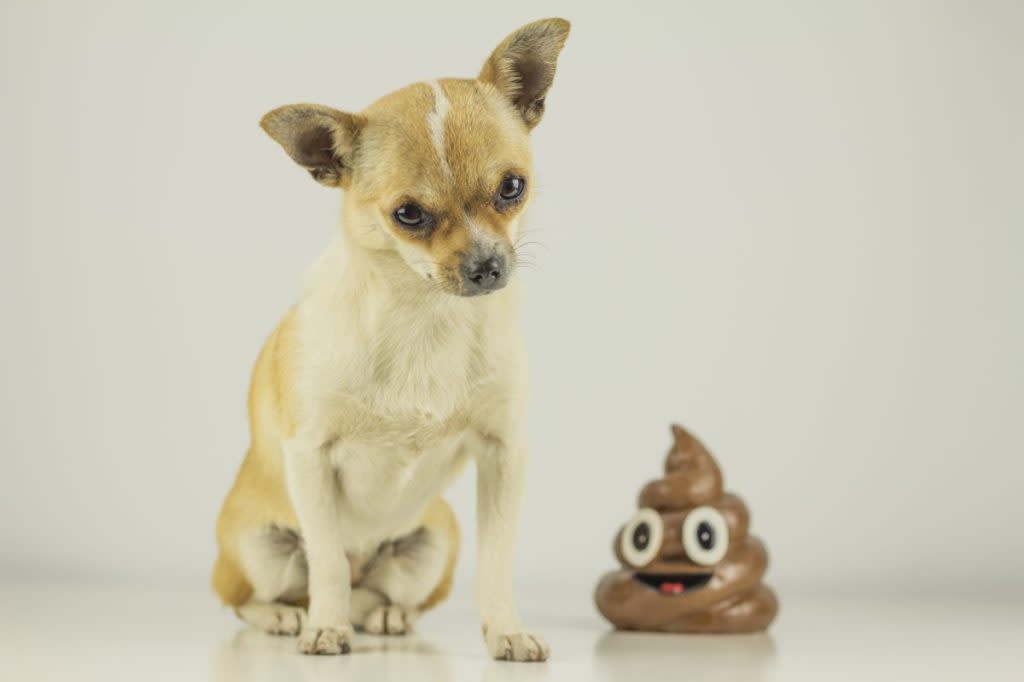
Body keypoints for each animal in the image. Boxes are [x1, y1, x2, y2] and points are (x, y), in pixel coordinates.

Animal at [211, 19, 573, 659]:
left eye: (513, 186)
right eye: (408, 214)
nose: (486, 266)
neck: (426, 317)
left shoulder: (504, 452)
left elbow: (498, 560)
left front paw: (506, 630)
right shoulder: (310, 455)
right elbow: (328, 559)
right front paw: (324, 629)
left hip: (436, 541)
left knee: (380, 595)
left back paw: (385, 616)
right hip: (256, 545)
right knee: (261, 595)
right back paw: (291, 616)